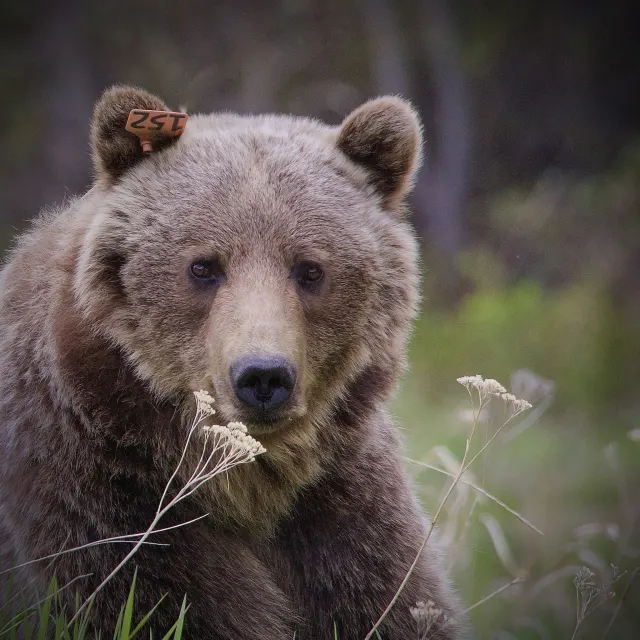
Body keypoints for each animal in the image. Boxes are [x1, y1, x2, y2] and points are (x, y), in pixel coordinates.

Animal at [0, 85, 465, 639]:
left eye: (310, 269)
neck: (246, 485)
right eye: (202, 266)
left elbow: (393, 602)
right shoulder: (98, 497)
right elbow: (160, 602)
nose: (263, 375)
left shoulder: (342, 507)